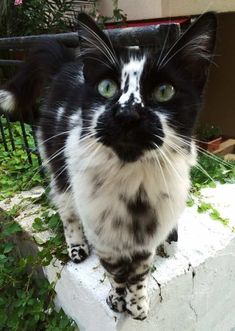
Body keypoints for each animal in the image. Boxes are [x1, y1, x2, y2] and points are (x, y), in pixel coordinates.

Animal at [0, 13, 217, 322]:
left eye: (164, 91)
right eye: (107, 88)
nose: (127, 114)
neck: (133, 185)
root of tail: (68, 64)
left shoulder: (145, 241)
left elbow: (138, 273)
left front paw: (137, 304)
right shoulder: (103, 235)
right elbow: (115, 273)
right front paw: (117, 300)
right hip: (57, 166)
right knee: (66, 210)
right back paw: (77, 247)